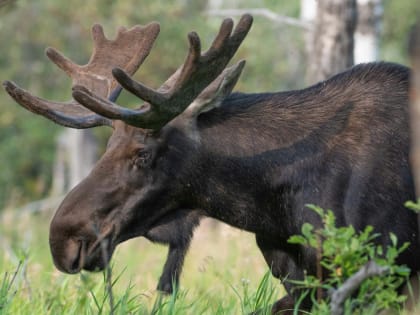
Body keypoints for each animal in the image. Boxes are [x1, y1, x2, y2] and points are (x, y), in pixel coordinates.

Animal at [4, 14, 420, 314]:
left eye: (143, 154)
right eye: (108, 147)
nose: (62, 238)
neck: (270, 207)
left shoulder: (375, 268)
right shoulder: (298, 276)